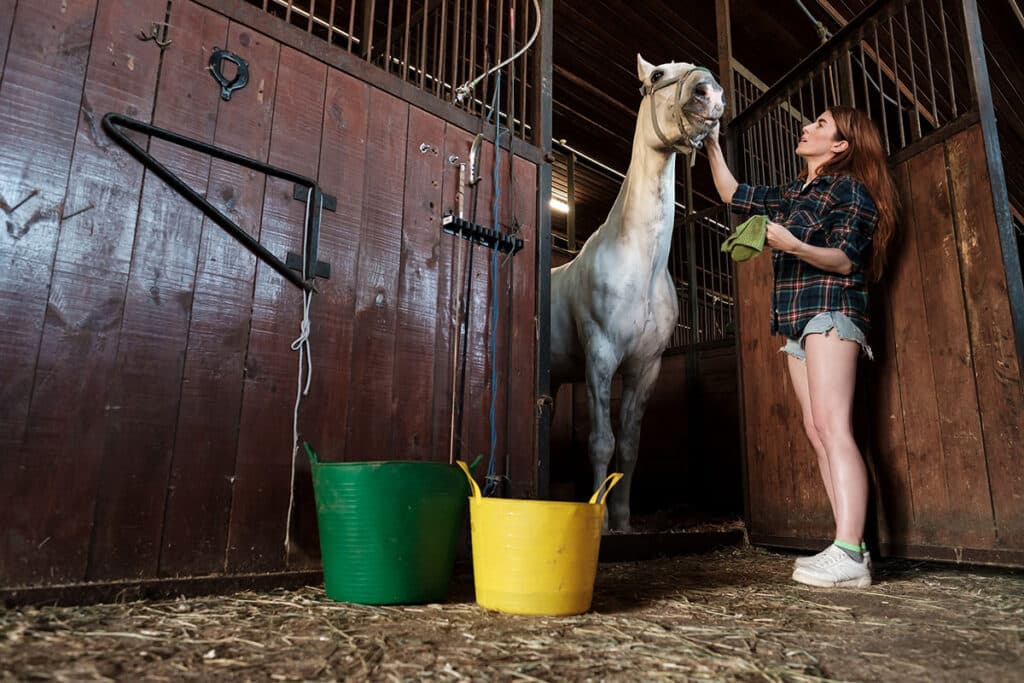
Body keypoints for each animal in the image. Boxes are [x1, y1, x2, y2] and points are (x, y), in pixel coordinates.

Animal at [548, 56, 724, 532]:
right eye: (658, 75)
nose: (709, 95)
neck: (638, 263)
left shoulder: (645, 367)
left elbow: (628, 445)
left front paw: (625, 521)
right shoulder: (601, 356)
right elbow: (601, 441)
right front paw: (601, 521)